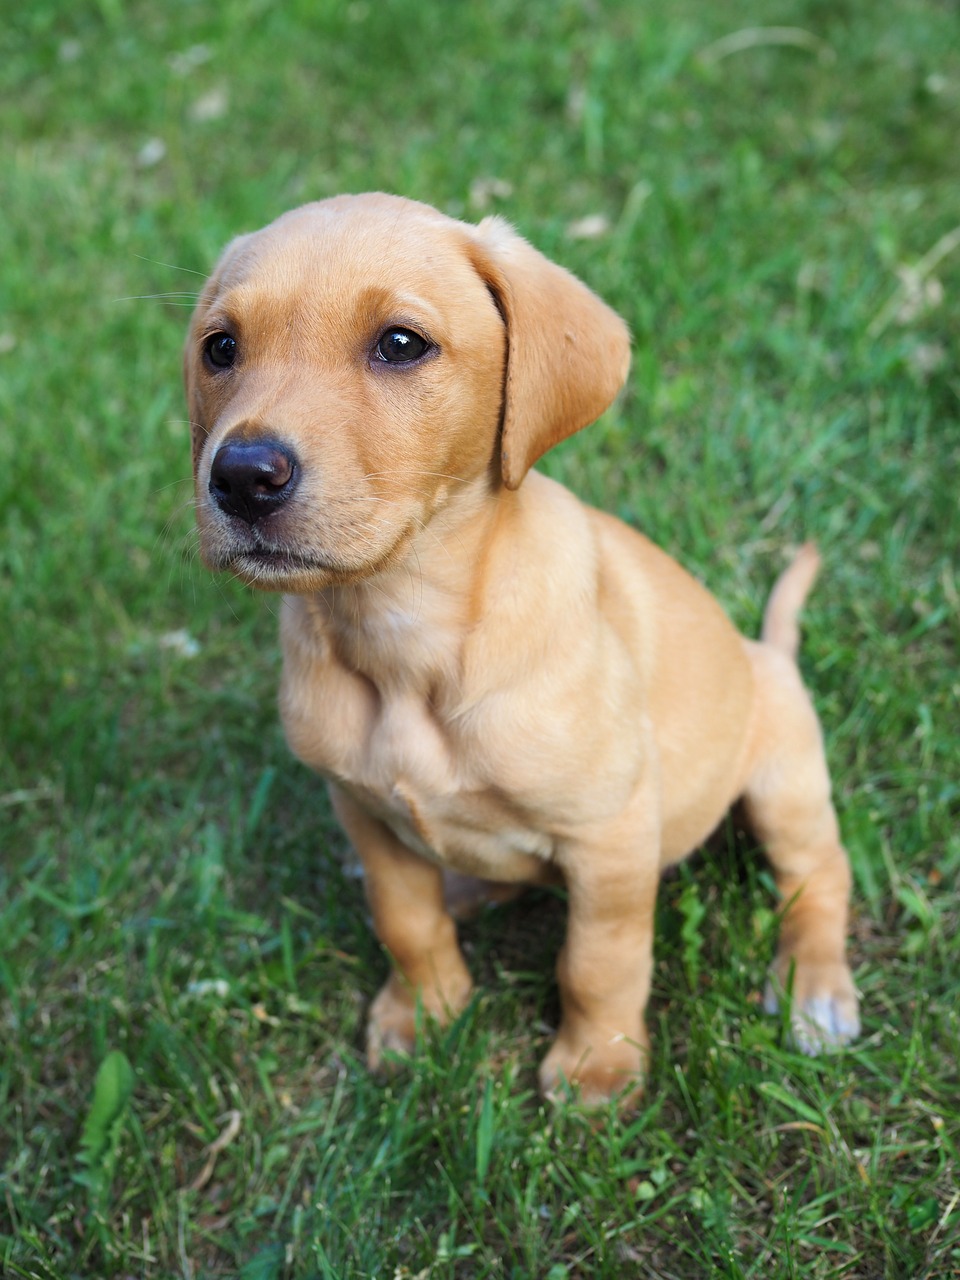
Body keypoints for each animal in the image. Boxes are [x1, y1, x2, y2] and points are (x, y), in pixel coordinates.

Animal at [184, 189, 860, 1100]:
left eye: (401, 343)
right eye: (221, 348)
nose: (243, 476)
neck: (403, 632)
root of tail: (771, 654)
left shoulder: (610, 837)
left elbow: (598, 963)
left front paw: (598, 1067)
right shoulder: (362, 810)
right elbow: (407, 920)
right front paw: (423, 1013)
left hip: (785, 779)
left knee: (819, 874)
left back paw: (814, 986)